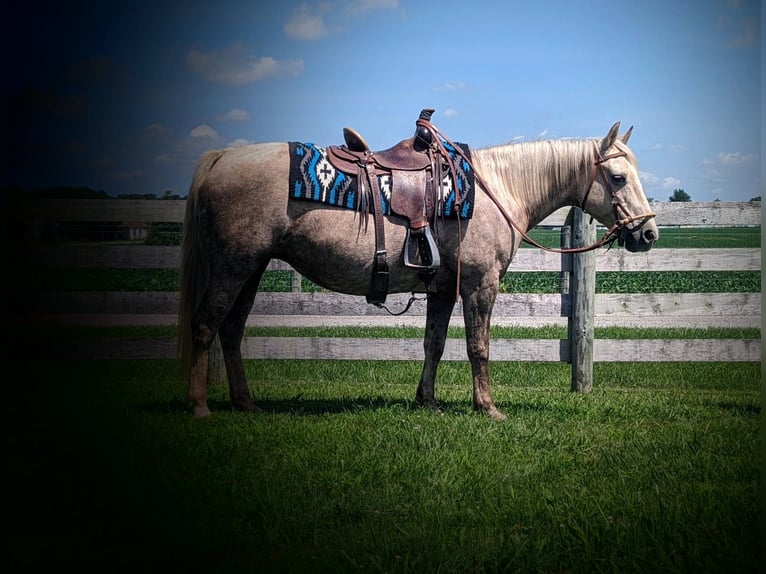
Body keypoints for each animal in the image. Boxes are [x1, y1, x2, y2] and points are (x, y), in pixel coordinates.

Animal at [178, 120, 660, 424]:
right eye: (618, 177)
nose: (649, 233)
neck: (496, 189)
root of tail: (222, 157)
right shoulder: (479, 286)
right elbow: (478, 348)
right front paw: (487, 407)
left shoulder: (443, 289)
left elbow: (434, 344)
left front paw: (426, 401)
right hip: (232, 265)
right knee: (205, 325)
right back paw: (199, 405)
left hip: (252, 268)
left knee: (232, 331)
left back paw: (246, 404)